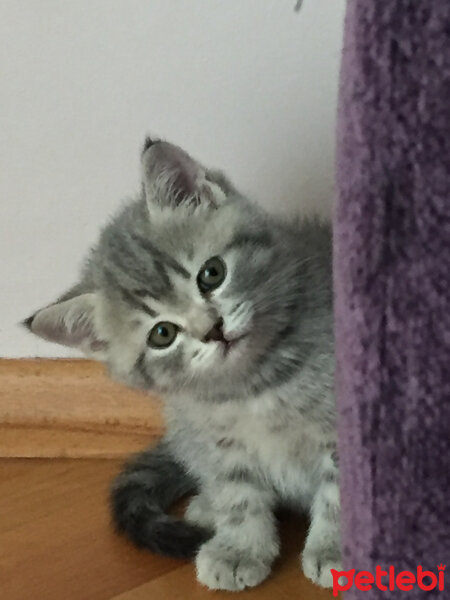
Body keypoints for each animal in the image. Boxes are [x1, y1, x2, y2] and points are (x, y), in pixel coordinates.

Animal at [24, 139, 342, 592]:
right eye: (162, 334)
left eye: (212, 274)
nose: (213, 330)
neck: (252, 385)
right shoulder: (216, 441)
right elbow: (237, 494)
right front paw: (239, 547)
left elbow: (342, 492)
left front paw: (338, 548)